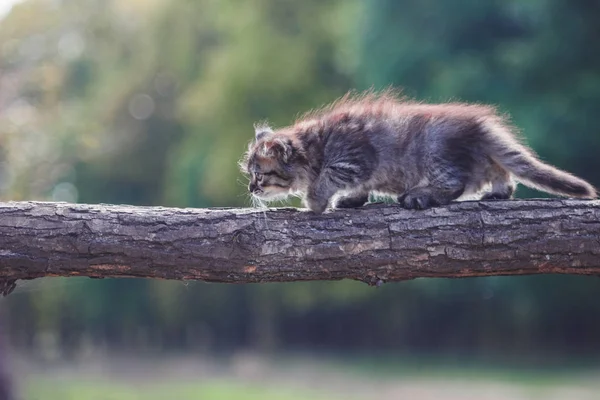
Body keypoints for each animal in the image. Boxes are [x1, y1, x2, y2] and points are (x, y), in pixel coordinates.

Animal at [240, 89, 596, 214]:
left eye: (260, 175)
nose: (251, 188)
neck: (314, 148)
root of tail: (480, 125)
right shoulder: (360, 171)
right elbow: (359, 188)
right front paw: (352, 200)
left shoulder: (351, 161)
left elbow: (325, 182)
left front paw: (313, 203)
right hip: (478, 158)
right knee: (502, 176)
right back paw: (497, 193)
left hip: (435, 150)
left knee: (456, 184)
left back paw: (419, 195)